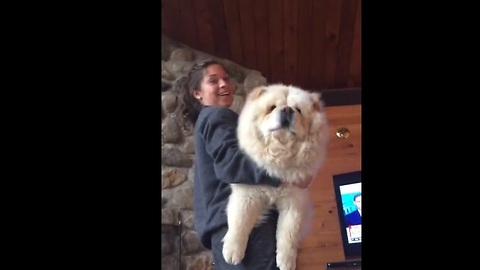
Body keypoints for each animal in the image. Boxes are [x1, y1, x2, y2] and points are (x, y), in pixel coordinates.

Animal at [222, 84, 328, 270]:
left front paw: (286, 261)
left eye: (298, 110)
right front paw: (233, 252)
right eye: (271, 108)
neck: (280, 157)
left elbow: (288, 234)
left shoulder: (294, 202)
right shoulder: (246, 195)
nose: (287, 109)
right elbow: (239, 223)